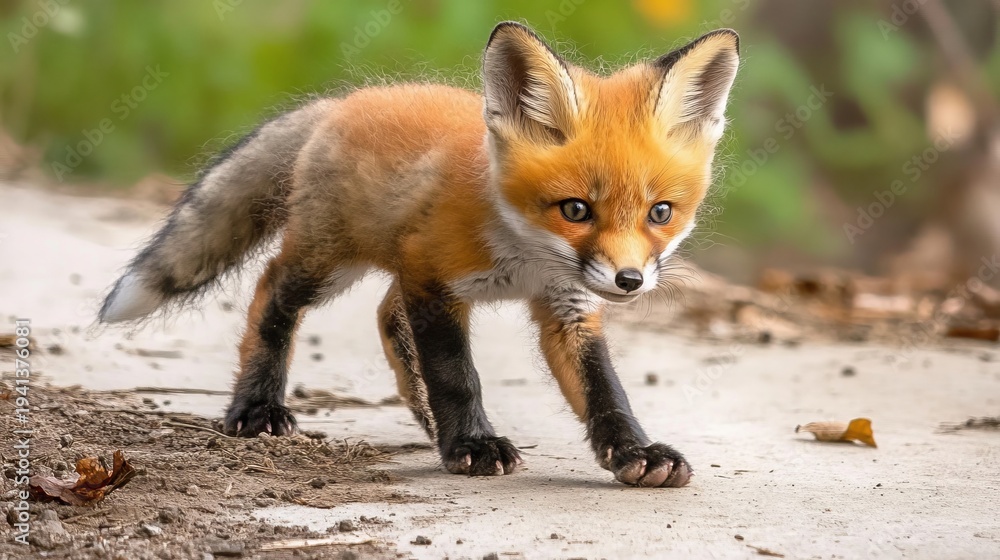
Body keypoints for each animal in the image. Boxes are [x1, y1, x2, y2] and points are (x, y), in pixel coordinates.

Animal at [99, 22, 739, 488]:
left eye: (661, 213)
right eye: (575, 209)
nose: (630, 280)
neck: (527, 257)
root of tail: (341, 102)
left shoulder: (567, 304)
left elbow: (605, 390)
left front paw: (635, 451)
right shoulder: (433, 280)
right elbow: (456, 375)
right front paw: (474, 445)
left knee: (385, 314)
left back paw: (429, 425)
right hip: (330, 260)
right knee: (271, 292)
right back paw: (257, 406)